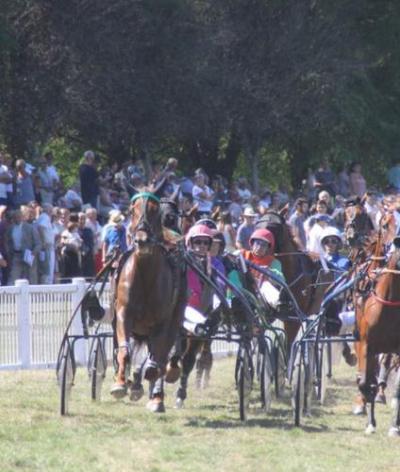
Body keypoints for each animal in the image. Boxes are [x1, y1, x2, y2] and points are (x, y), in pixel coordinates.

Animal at [110, 185, 187, 412]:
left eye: (154, 210)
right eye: (131, 209)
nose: (142, 240)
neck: (144, 273)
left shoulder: (163, 321)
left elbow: (157, 361)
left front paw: (153, 387)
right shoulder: (123, 313)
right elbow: (124, 351)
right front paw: (121, 383)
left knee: (162, 357)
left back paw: (156, 395)